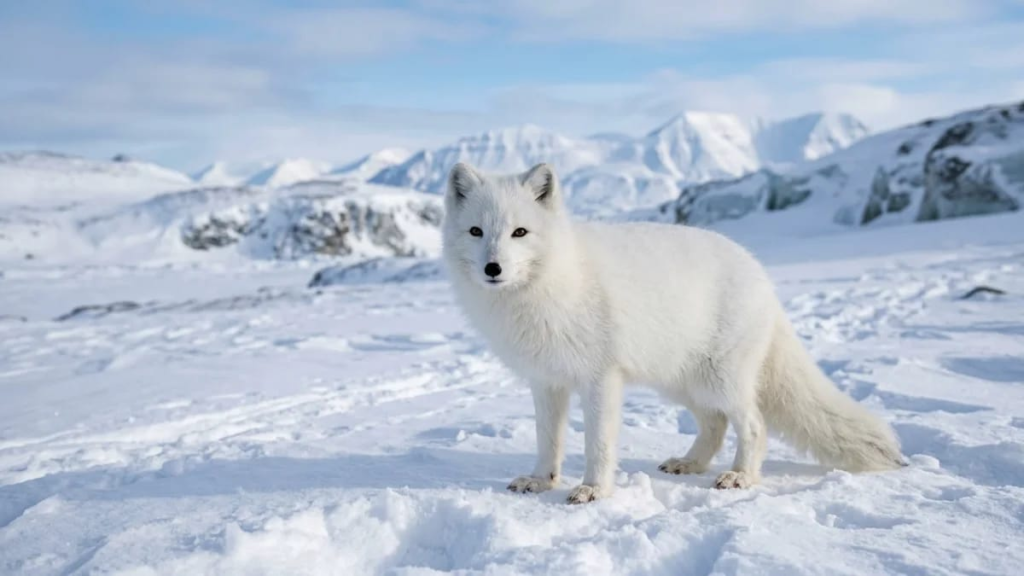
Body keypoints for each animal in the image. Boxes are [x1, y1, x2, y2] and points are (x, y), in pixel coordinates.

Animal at [441, 162, 904, 504]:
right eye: (476, 232)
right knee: (715, 424)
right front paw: (541, 481)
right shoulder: (546, 381)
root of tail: (760, 274)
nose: (493, 268)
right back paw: (691, 464)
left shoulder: (600, 378)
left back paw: (740, 476)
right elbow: (547, 440)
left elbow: (598, 443)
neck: (552, 281)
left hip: (721, 379)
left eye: (520, 232)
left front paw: (594, 489)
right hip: (682, 381)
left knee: (753, 424)